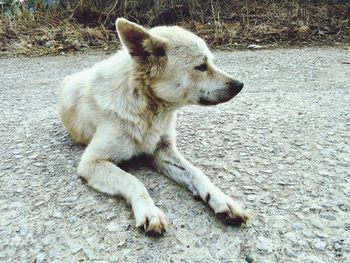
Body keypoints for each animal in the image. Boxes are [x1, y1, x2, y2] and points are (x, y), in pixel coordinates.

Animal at [58, 18, 250, 237]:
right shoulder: (92, 162)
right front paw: (149, 211)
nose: (240, 85)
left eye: (211, 62)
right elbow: (133, 181)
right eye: (201, 67)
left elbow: (197, 173)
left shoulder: (163, 151)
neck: (145, 106)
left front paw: (223, 200)